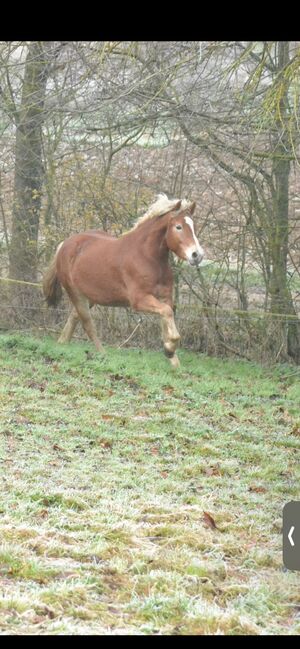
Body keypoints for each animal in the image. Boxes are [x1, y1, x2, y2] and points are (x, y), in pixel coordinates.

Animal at [42, 192, 204, 368]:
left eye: (194, 227)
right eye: (178, 227)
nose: (197, 255)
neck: (148, 258)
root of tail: (64, 244)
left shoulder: (165, 297)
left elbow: (166, 319)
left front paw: (173, 360)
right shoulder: (139, 300)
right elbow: (167, 314)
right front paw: (169, 350)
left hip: (90, 296)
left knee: (73, 318)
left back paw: (62, 344)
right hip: (76, 294)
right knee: (87, 324)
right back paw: (102, 354)